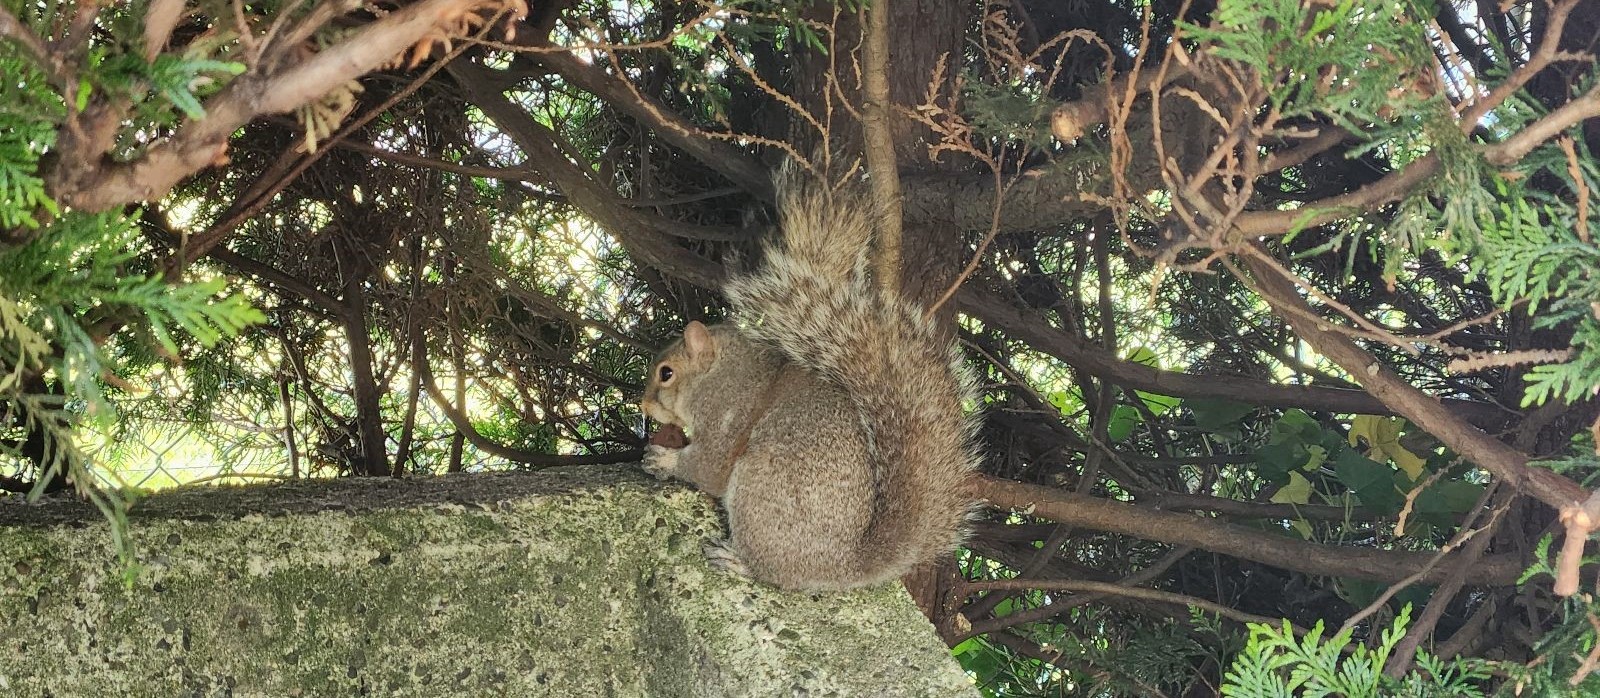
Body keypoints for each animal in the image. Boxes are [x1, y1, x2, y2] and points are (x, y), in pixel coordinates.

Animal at [640, 172, 982, 591]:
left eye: (666, 373)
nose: (643, 405)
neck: (722, 371)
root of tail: (842, 566)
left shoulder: (726, 414)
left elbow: (707, 468)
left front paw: (665, 460)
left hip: (761, 483)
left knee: (773, 572)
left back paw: (737, 560)